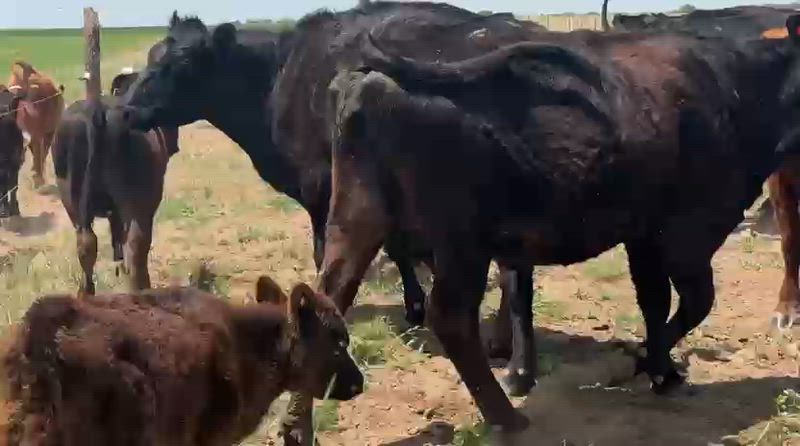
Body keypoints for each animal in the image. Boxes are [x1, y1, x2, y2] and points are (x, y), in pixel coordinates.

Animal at [52, 70, 173, 298]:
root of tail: (99, 114)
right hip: (139, 203)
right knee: (137, 246)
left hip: (73, 201)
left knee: (86, 243)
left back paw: (85, 294)